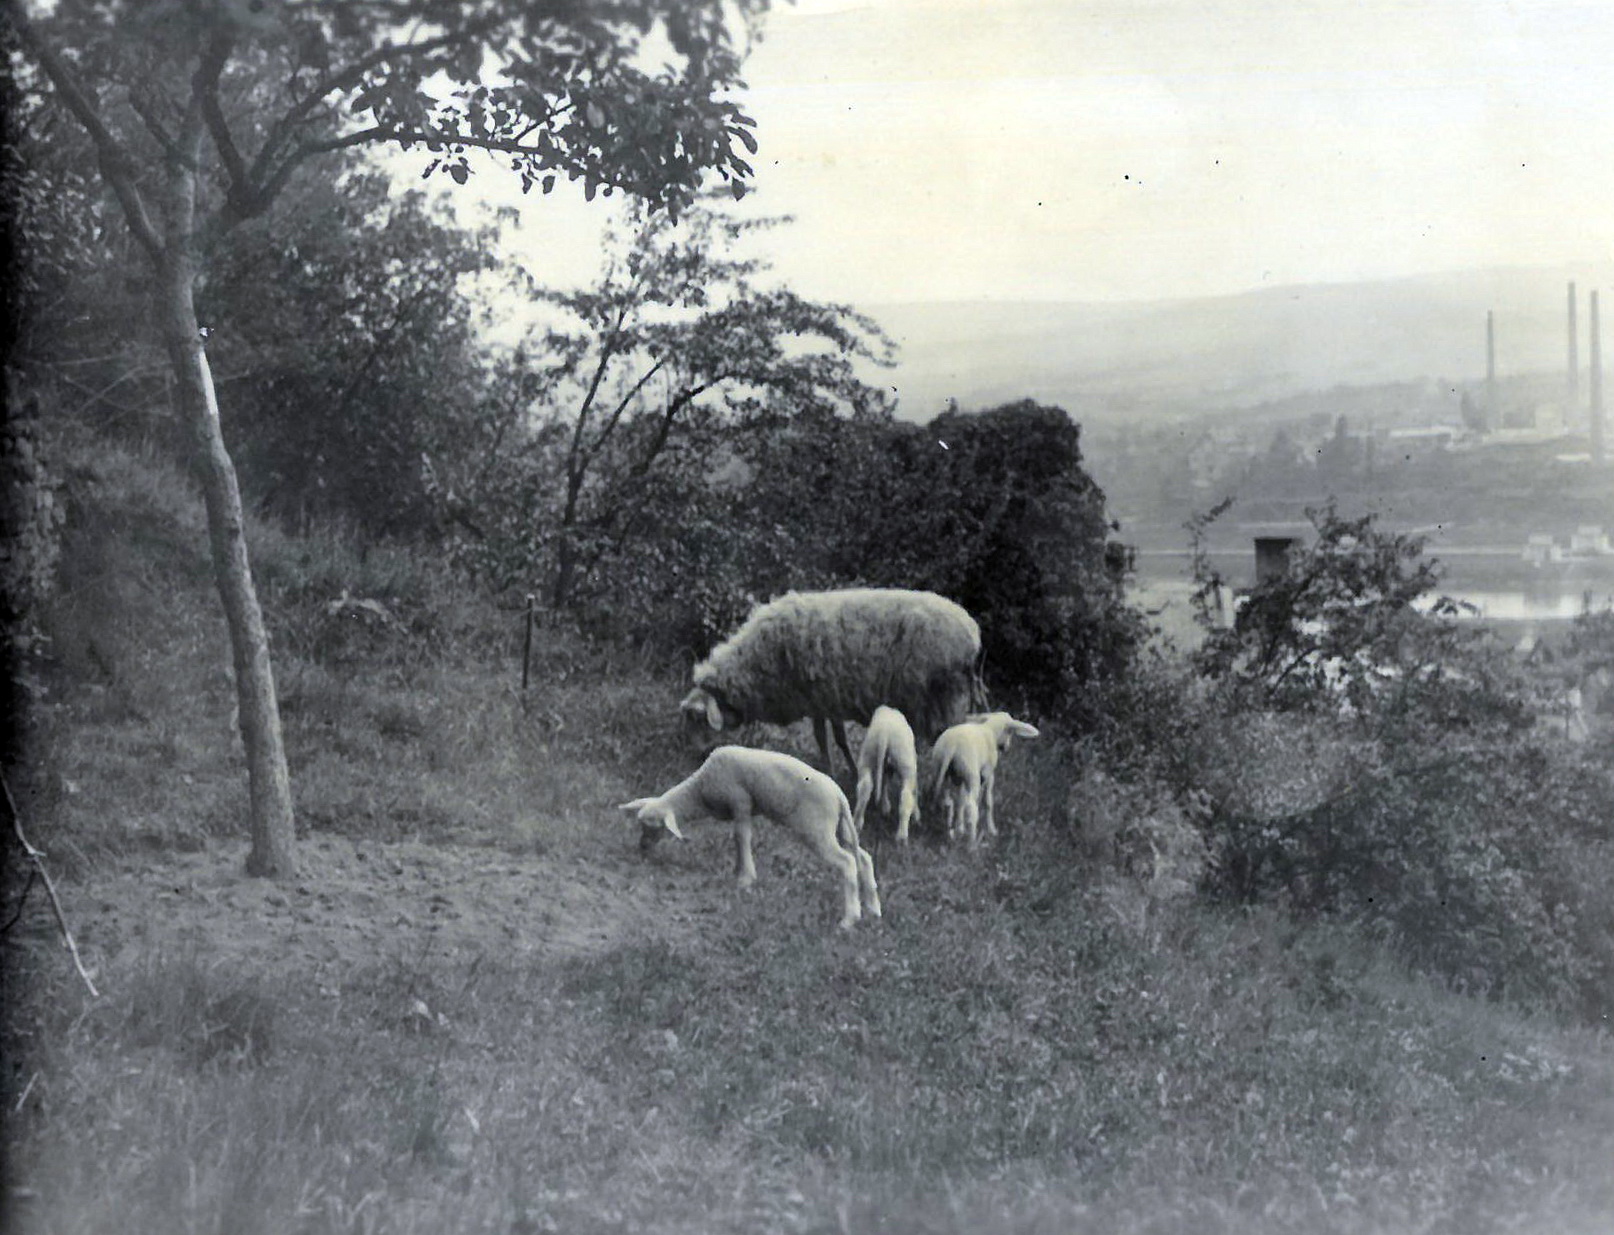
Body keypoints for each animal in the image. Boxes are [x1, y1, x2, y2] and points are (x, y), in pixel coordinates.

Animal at [619, 745, 881, 930]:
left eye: (653, 828)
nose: (642, 847)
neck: (699, 791)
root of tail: (840, 796)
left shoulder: (740, 802)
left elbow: (741, 837)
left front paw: (745, 878)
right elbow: (740, 838)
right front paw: (739, 872)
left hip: (816, 829)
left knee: (847, 862)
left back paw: (850, 918)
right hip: (840, 828)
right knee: (864, 857)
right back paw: (873, 908)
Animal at [679, 588, 985, 777]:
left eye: (697, 718)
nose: (693, 756)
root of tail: (972, 636)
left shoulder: (819, 698)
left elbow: (824, 738)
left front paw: (830, 769)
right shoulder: (828, 700)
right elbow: (836, 737)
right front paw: (848, 768)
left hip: (944, 700)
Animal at [853, 705, 921, 843]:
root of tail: (885, 732)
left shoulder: (886, 766)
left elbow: (884, 782)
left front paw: (885, 807)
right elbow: (915, 791)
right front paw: (916, 815)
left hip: (868, 754)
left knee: (865, 787)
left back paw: (857, 822)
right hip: (906, 762)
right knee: (906, 797)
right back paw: (901, 836)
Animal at [929, 711, 1039, 847]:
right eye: (1010, 731)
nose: (1006, 747)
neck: (990, 729)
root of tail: (952, 744)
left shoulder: (961, 778)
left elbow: (961, 800)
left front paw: (960, 828)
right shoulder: (988, 774)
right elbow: (988, 801)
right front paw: (992, 830)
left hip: (940, 768)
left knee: (947, 801)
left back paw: (950, 831)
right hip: (971, 773)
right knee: (971, 806)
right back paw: (972, 844)